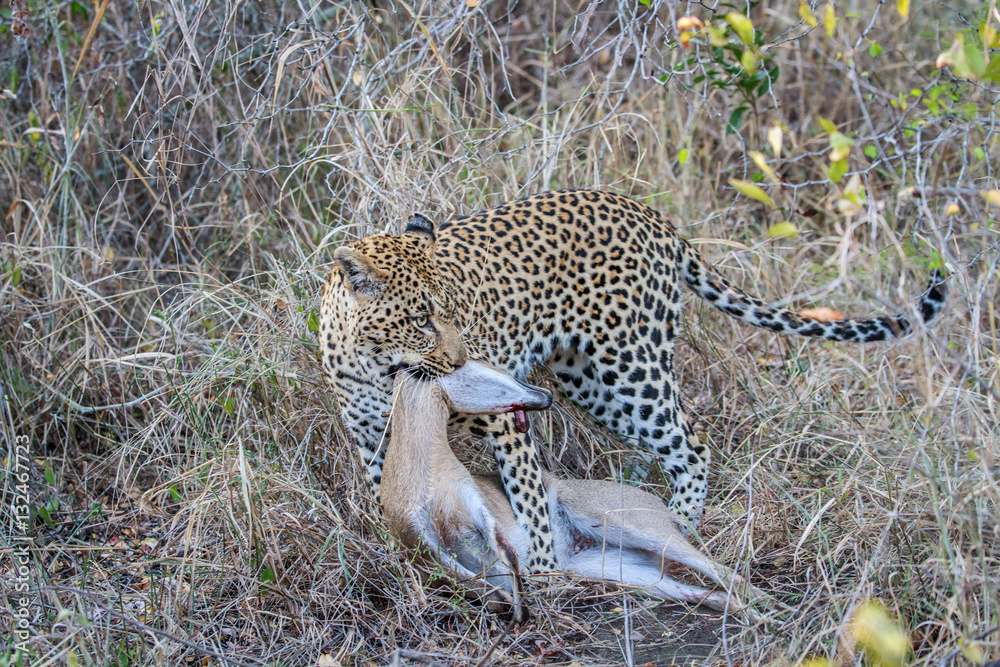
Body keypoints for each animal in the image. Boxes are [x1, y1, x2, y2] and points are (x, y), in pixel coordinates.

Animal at [319, 189, 946, 574]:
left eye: (453, 311)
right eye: (421, 319)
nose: (458, 360)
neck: (379, 365)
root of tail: (651, 216)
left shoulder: (505, 420)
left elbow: (529, 496)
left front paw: (545, 570)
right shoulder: (371, 435)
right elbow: (391, 499)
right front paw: (410, 566)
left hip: (628, 367)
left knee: (693, 445)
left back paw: (680, 525)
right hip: (587, 379)